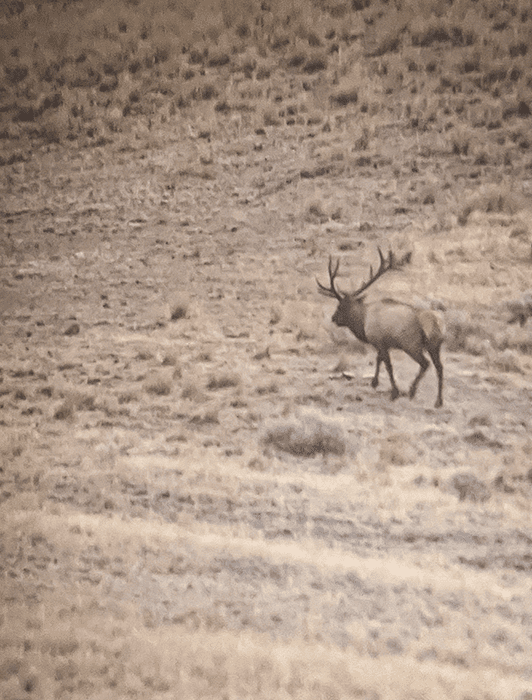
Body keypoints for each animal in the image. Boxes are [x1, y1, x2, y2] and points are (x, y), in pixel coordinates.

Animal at [317, 248, 444, 408]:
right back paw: (438, 401)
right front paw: (374, 382)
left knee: (425, 364)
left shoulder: (379, 341)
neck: (363, 321)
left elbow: (388, 365)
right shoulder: (381, 343)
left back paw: (412, 391)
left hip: (411, 345)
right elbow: (379, 360)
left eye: (340, 307)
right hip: (435, 346)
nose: (334, 318)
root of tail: (433, 322)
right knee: (440, 368)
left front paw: (394, 392)